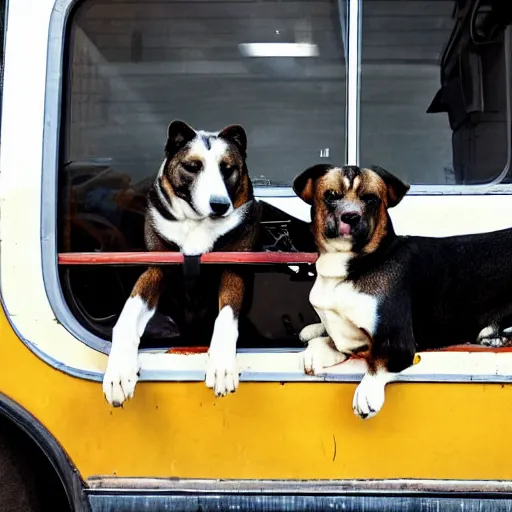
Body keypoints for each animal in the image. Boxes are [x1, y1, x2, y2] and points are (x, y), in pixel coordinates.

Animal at [102, 120, 262, 404]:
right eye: (192, 167)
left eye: (227, 169)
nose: (220, 205)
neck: (197, 223)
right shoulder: (156, 269)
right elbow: (128, 314)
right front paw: (118, 373)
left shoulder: (233, 269)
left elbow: (226, 316)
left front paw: (221, 366)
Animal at [294, 164, 512, 420]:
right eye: (331, 195)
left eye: (371, 198)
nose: (351, 216)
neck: (357, 264)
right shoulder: (349, 338)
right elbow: (330, 339)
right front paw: (316, 348)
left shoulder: (396, 340)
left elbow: (378, 360)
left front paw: (366, 391)